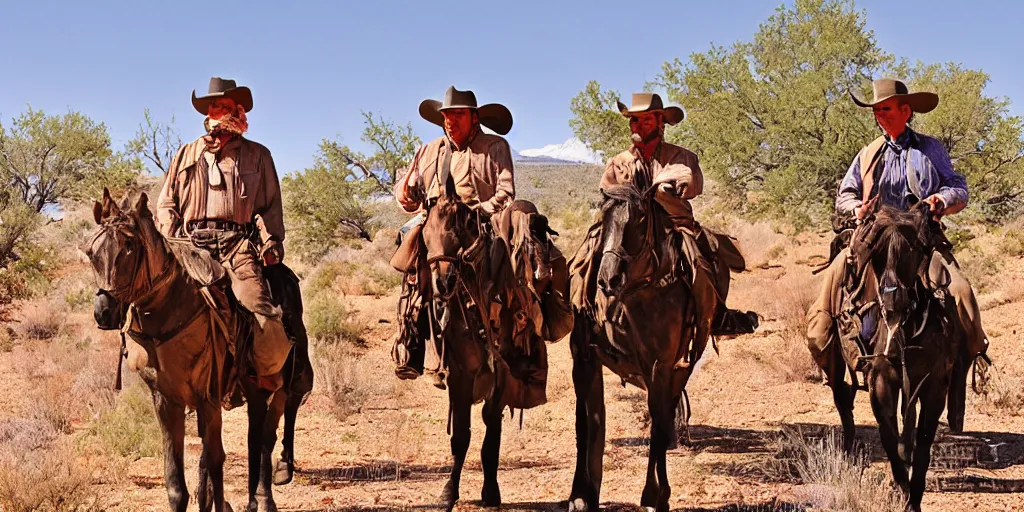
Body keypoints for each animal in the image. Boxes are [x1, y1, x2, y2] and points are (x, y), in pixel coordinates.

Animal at [85, 189, 311, 512]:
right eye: (91, 252)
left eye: (128, 247)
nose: (104, 312)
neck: (171, 314)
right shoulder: (166, 401)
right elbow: (178, 483)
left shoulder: (208, 397)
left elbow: (216, 460)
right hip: (251, 389)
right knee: (254, 435)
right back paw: (252, 498)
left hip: (278, 379)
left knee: (271, 429)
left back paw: (270, 490)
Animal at [565, 185, 716, 512]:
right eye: (603, 222)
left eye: (640, 220)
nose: (607, 279)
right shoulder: (583, 358)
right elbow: (586, 424)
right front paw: (580, 495)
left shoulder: (661, 367)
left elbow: (658, 427)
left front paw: (654, 496)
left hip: (679, 370)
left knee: (664, 418)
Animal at [847, 200, 958, 512]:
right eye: (875, 251)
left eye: (914, 249)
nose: (893, 302)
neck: (904, 330)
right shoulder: (882, 380)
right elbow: (888, 437)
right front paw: (901, 489)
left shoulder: (934, 386)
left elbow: (922, 442)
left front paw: (914, 498)